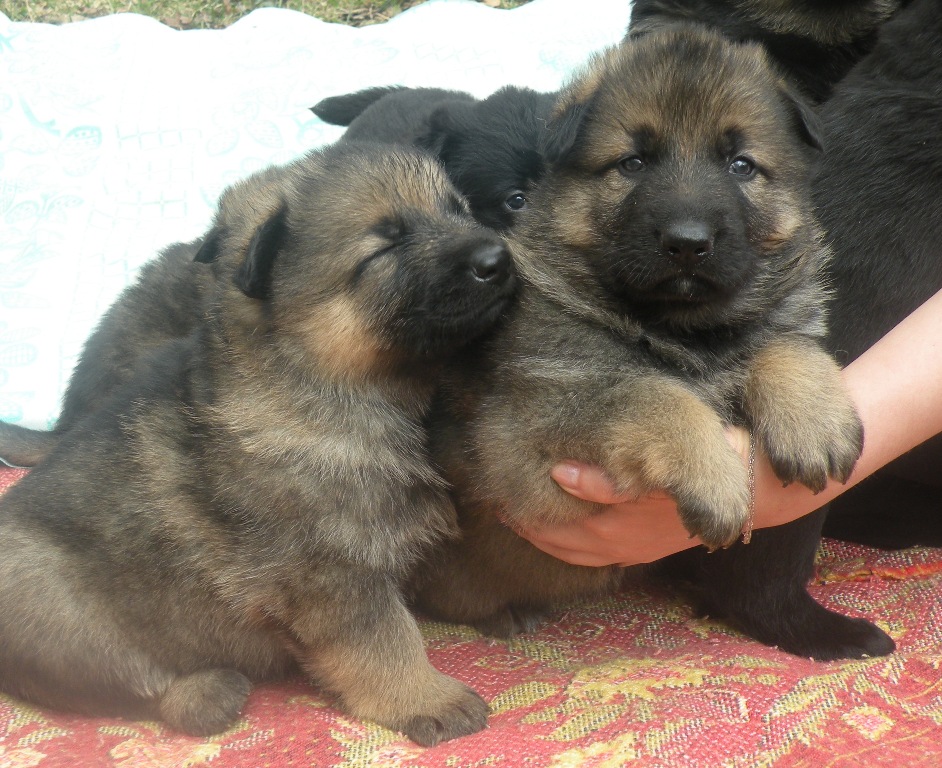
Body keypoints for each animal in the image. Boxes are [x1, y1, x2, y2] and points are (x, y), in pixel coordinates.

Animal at [0, 142, 516, 744]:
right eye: (385, 245)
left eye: (458, 209)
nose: (498, 258)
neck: (321, 382)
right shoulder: (331, 574)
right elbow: (387, 642)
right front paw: (427, 697)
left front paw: (496, 604)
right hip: (48, 599)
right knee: (118, 680)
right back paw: (207, 693)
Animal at [412, 25, 900, 660]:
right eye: (633, 162)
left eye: (740, 165)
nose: (687, 241)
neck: (686, 329)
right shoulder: (535, 429)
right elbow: (654, 395)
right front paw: (716, 479)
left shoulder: (767, 324)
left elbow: (783, 344)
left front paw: (813, 418)